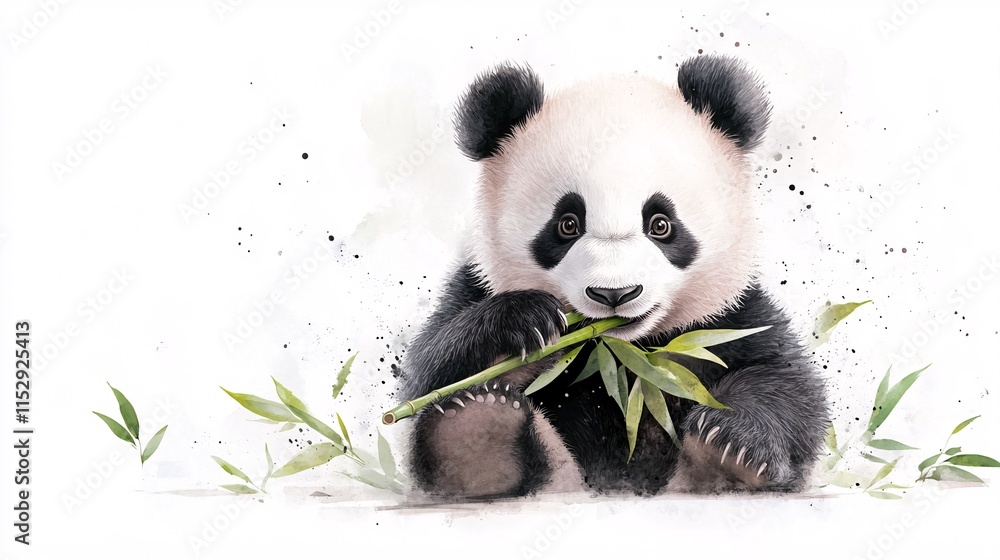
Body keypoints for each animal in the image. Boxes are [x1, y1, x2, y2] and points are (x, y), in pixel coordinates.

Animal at [400, 55, 828, 497]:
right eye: (567, 224)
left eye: (661, 224)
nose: (614, 294)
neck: (621, 352)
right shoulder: (477, 284)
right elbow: (427, 366)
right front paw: (527, 322)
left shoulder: (728, 315)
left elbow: (786, 383)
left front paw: (736, 441)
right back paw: (476, 432)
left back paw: (717, 466)